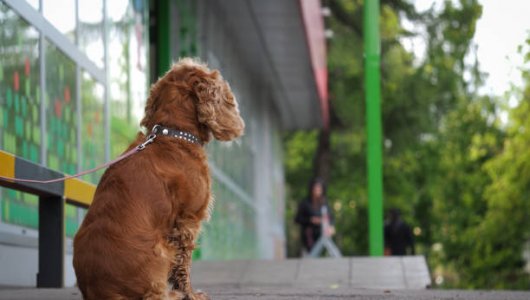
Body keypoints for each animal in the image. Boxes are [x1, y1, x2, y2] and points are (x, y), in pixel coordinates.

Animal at [73, 57, 244, 298]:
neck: (174, 133)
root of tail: (102, 291)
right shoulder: (188, 220)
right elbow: (184, 264)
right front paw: (191, 294)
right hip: (163, 249)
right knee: (154, 293)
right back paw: (172, 294)